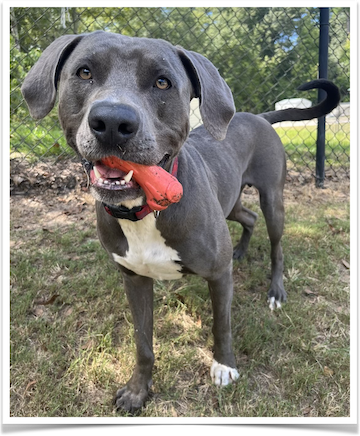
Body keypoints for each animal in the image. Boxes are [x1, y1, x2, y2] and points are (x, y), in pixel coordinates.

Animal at [21, 30, 340, 412]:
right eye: (84, 73)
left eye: (163, 82)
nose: (112, 122)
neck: (143, 210)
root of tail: (259, 116)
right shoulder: (134, 279)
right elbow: (143, 343)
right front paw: (138, 390)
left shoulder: (218, 276)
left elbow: (222, 325)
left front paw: (224, 367)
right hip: (230, 201)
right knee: (247, 217)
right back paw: (240, 251)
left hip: (272, 199)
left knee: (276, 244)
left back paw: (276, 291)